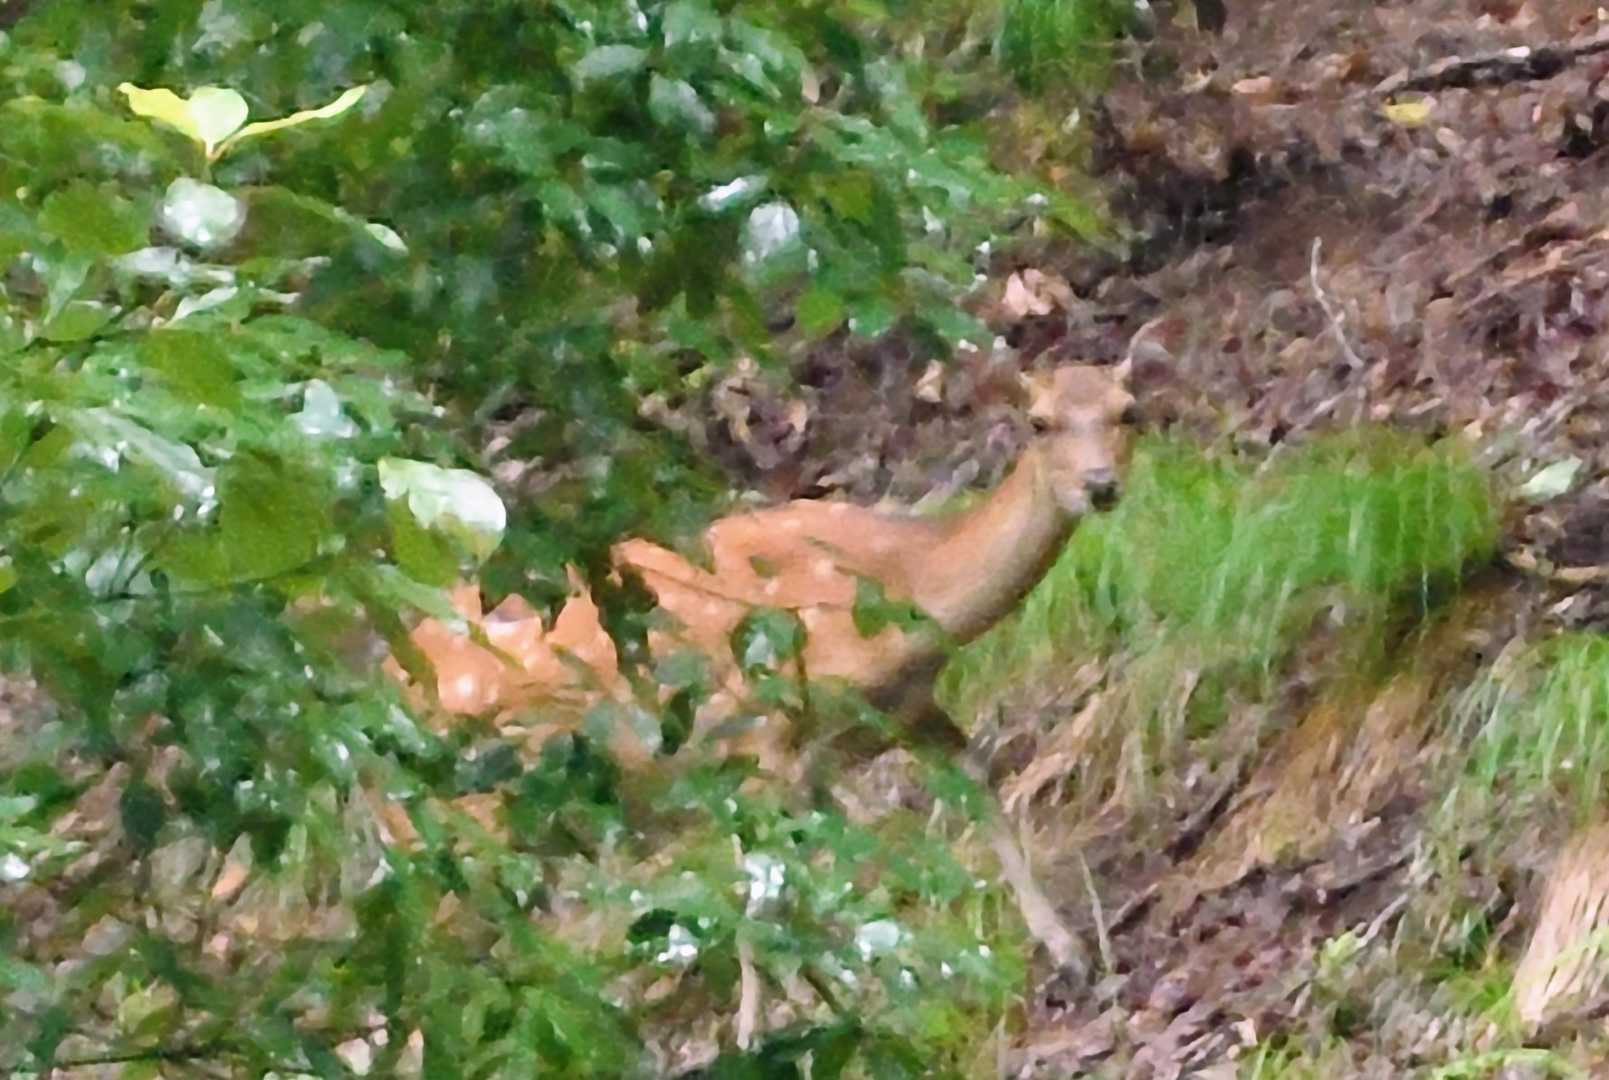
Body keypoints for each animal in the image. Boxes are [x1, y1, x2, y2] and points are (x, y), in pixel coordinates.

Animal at [390, 359, 1138, 979]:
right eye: (1039, 422)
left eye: (1126, 410)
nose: (1101, 487)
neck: (900, 583)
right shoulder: (764, 731)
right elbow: (789, 889)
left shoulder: (904, 711)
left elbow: (975, 786)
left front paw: (1068, 950)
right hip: (456, 827)